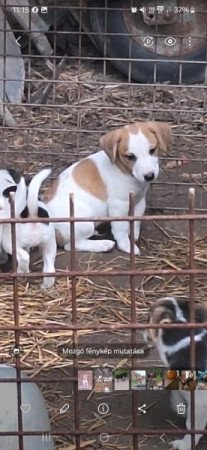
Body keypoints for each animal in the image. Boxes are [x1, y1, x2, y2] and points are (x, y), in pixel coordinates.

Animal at [45, 120, 171, 253]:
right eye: (130, 156)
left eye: (152, 150)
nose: (149, 176)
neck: (124, 171)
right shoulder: (118, 205)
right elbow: (121, 229)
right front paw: (127, 246)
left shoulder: (139, 201)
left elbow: (136, 220)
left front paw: (134, 235)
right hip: (83, 221)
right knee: (71, 245)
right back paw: (103, 245)